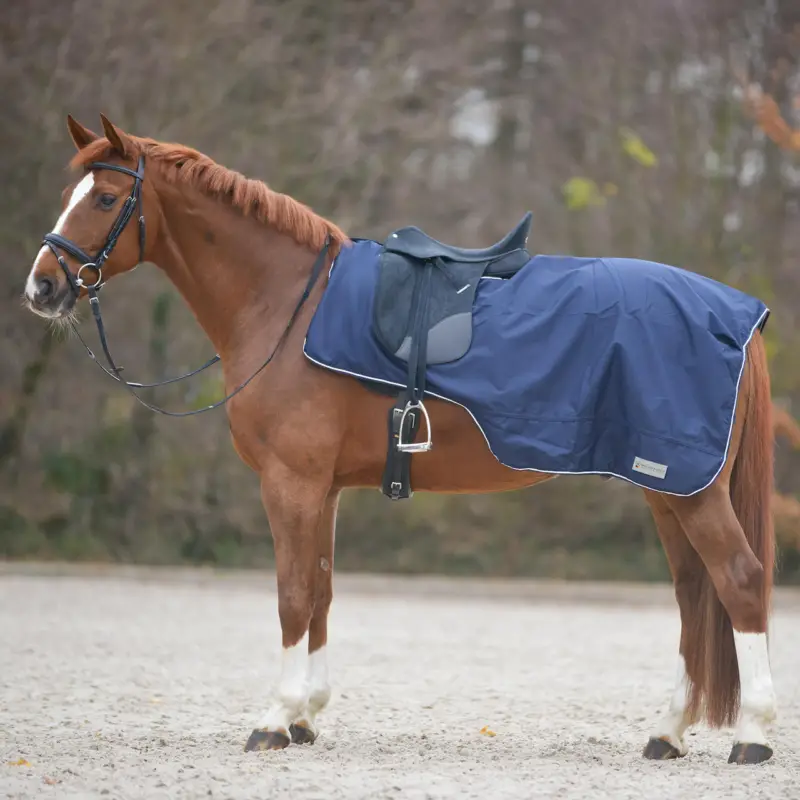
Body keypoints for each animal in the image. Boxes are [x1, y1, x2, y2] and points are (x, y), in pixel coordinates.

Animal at [23, 114, 778, 765]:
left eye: (107, 197)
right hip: (665, 488)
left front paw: (275, 718)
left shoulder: (291, 482)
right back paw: (668, 731)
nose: (41, 287)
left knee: (738, 582)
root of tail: (736, 314)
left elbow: (292, 594)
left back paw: (753, 736)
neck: (287, 304)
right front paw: (307, 716)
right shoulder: (322, 489)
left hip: (690, 490)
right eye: (70, 195)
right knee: (693, 595)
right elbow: (321, 592)